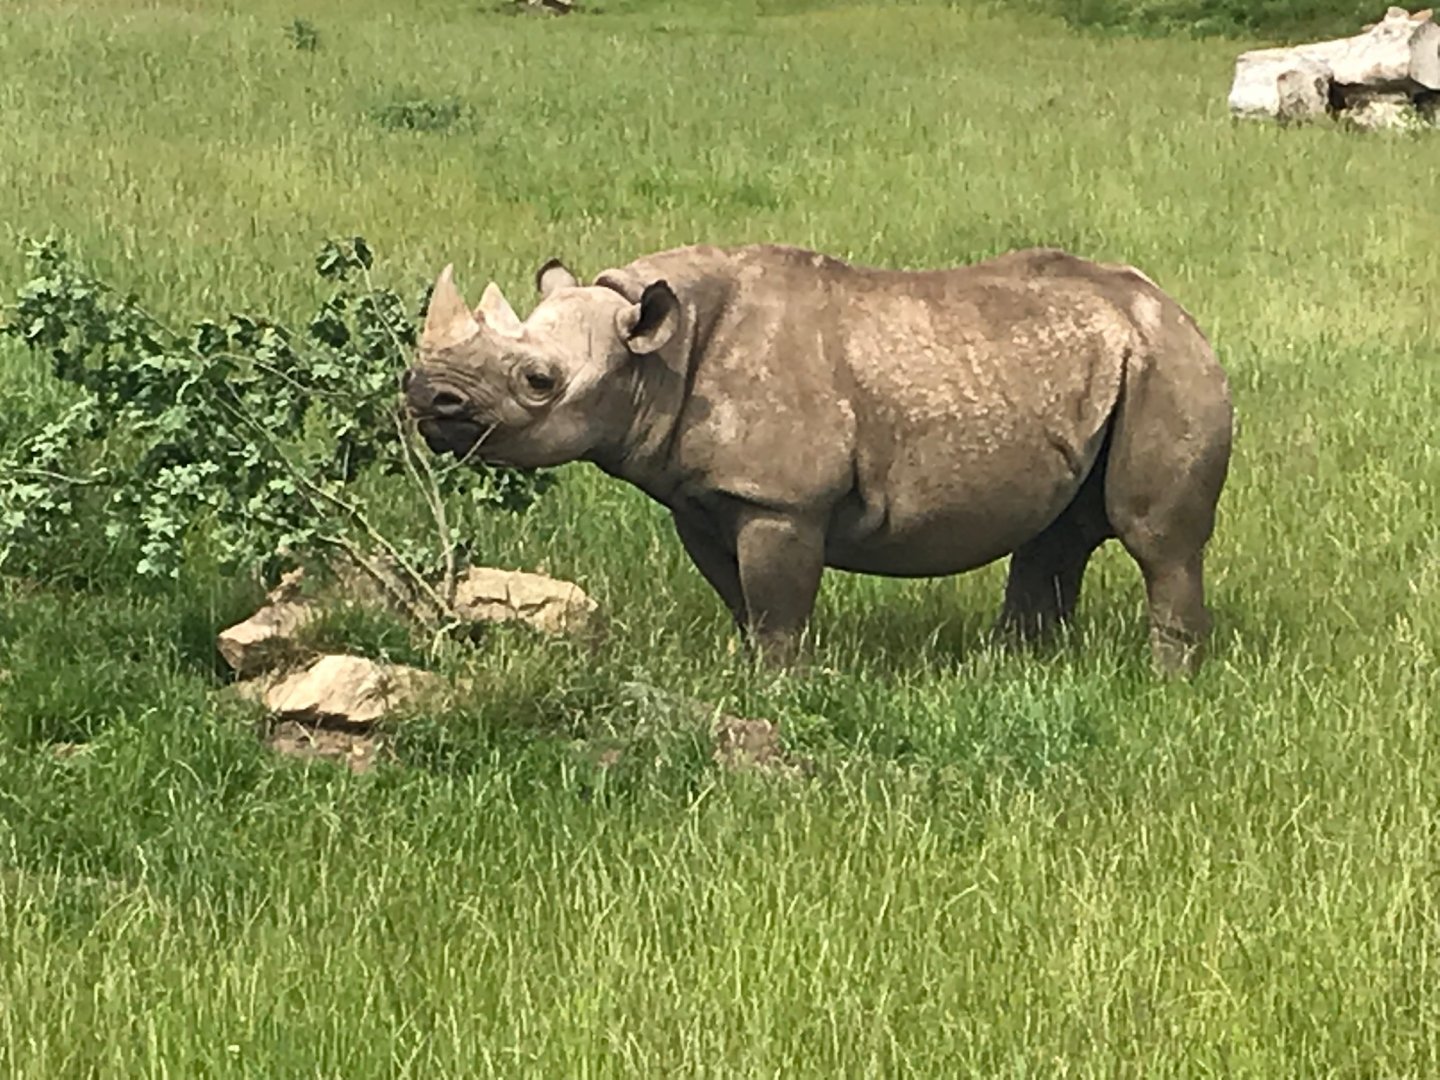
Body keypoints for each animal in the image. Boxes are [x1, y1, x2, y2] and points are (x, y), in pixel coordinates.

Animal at [403, 243, 1233, 675]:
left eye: (539, 382)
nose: (423, 394)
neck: (653, 351)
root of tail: (1180, 310)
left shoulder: (781, 501)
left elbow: (777, 603)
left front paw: (780, 686)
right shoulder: (702, 497)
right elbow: (739, 598)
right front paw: (750, 674)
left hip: (1167, 364)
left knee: (1157, 540)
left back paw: (1168, 681)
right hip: (1112, 359)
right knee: (1054, 533)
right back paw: (1012, 671)